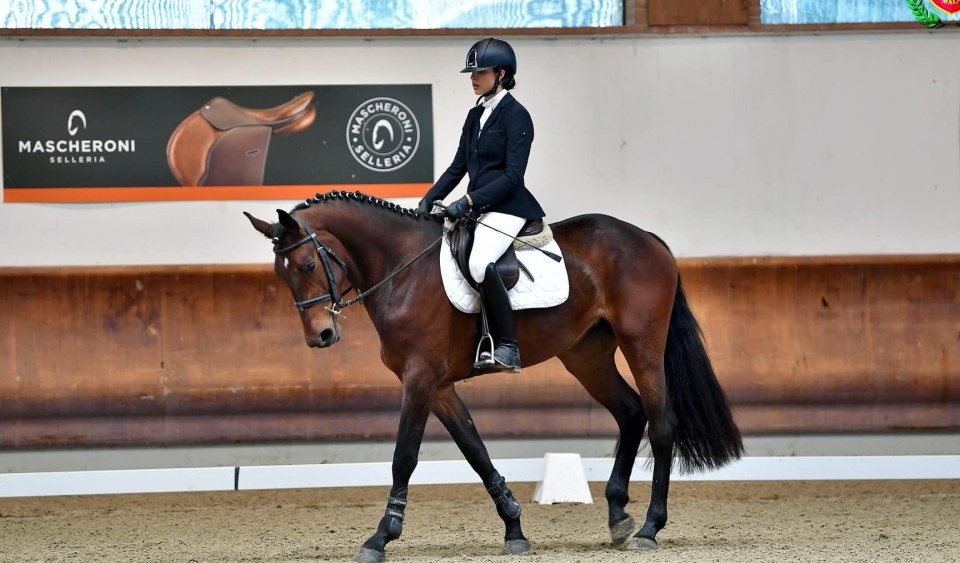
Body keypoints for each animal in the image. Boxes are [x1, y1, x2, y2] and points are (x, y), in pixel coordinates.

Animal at [244, 190, 744, 562]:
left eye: (309, 265)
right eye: (281, 274)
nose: (321, 336)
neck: (402, 270)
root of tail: (647, 239)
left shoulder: (420, 378)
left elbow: (405, 456)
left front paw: (381, 536)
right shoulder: (440, 386)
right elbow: (476, 452)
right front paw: (514, 528)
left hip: (641, 344)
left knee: (661, 423)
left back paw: (648, 529)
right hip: (586, 355)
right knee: (631, 412)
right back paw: (619, 516)